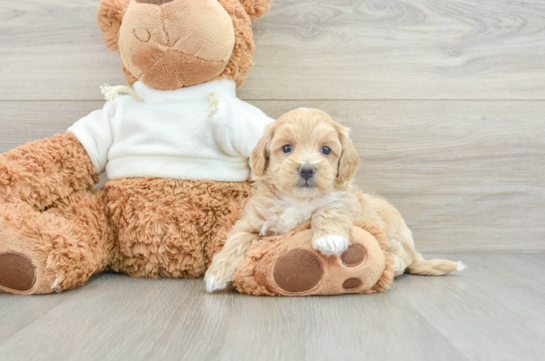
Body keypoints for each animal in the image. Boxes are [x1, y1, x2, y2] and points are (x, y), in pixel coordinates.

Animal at [205, 107, 464, 292]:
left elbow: (328, 209)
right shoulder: (252, 221)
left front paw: (329, 239)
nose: (307, 169)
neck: (298, 200)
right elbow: (237, 240)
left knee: (403, 256)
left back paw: (395, 262)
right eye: (287, 148)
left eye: (326, 150)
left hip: (392, 229)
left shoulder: (344, 201)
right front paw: (216, 273)